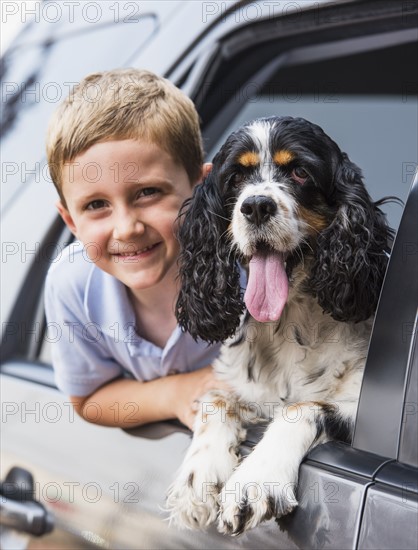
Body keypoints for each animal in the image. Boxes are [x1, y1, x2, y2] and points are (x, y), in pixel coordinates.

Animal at [167, 115, 392, 536]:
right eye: (236, 177)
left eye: (300, 172)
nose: (256, 206)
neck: (291, 323)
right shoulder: (240, 387)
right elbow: (215, 399)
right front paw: (198, 478)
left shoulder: (356, 413)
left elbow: (303, 406)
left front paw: (256, 482)